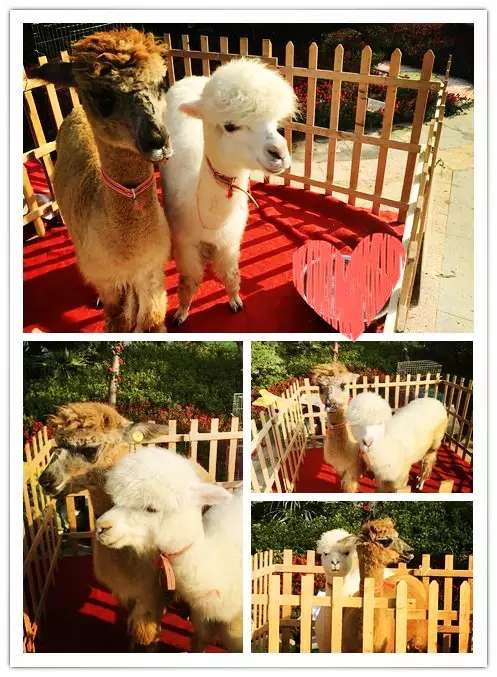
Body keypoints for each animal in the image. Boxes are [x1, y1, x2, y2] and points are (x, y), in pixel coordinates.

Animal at [33, 29, 171, 332]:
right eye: (104, 98)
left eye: (160, 84)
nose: (158, 140)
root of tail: (75, 109)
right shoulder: (107, 279)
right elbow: (118, 319)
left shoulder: (151, 270)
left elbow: (152, 321)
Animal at [38, 402, 211, 650]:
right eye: (56, 444)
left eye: (90, 449)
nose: (45, 480)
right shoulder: (129, 592)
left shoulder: (152, 593)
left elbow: (145, 635)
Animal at [160, 58, 297, 324]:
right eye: (230, 126)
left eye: (275, 124)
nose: (279, 154)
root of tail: (191, 78)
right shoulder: (185, 243)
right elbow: (188, 280)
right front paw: (182, 312)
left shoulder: (230, 242)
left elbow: (230, 274)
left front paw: (235, 300)